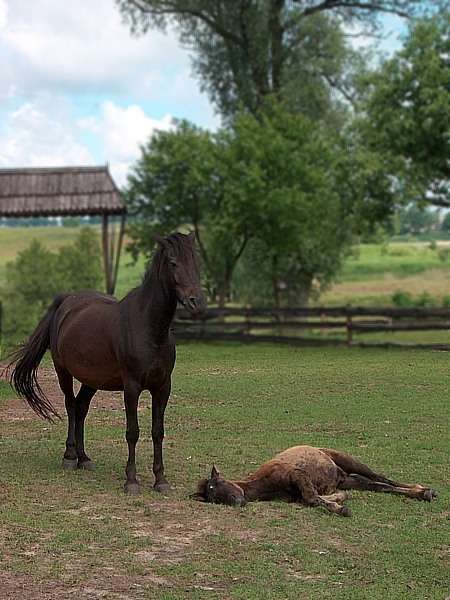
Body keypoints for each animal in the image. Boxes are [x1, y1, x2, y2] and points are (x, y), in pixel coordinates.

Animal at [10, 232, 207, 494]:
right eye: (173, 263)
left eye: (197, 262)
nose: (198, 303)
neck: (148, 327)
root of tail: (67, 302)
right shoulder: (132, 387)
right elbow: (133, 432)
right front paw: (131, 481)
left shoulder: (163, 387)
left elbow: (158, 432)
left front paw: (160, 480)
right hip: (63, 372)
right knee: (71, 406)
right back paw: (70, 457)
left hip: (92, 380)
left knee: (81, 408)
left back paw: (84, 458)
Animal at [192, 446, 438, 516]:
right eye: (214, 498)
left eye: (220, 483)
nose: (236, 501)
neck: (263, 485)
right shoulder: (297, 496)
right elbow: (311, 498)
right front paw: (339, 500)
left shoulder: (297, 475)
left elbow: (311, 497)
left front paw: (341, 509)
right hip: (351, 480)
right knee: (380, 486)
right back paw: (422, 492)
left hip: (348, 461)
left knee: (381, 478)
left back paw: (425, 490)